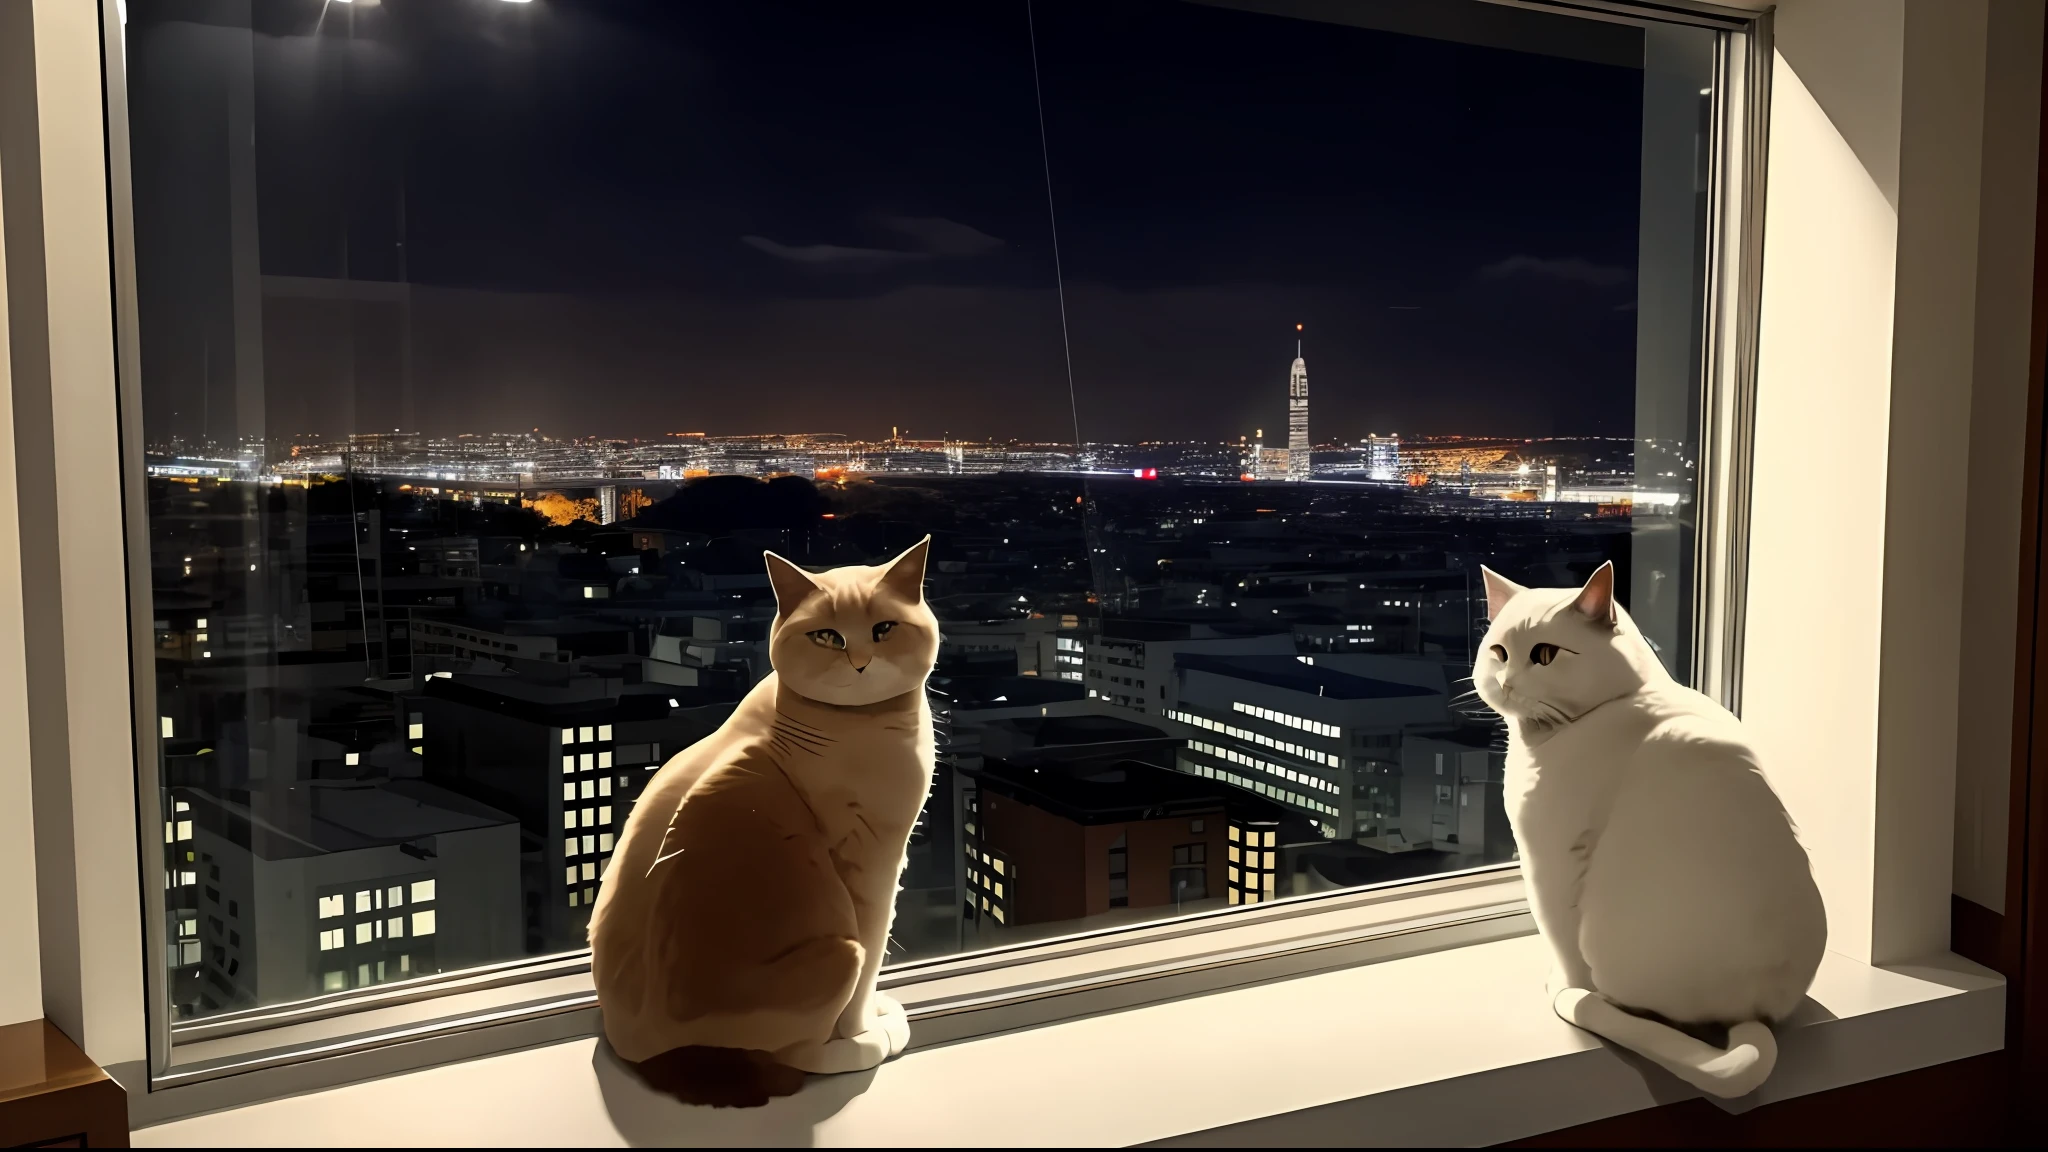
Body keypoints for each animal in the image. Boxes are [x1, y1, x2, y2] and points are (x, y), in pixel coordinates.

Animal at [589, 537, 937, 1106]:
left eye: (884, 629)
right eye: (827, 636)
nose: (861, 663)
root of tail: (640, 1051)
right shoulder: (875, 865)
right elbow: (870, 969)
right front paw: (863, 1028)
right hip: (839, 952)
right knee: (797, 1053)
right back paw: (864, 1046)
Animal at [1474, 561, 1826, 1090]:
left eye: (1544, 655)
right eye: (1498, 652)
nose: (1507, 681)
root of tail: (1752, 1011)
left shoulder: (1549, 861)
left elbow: (1561, 942)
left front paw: (1564, 985)